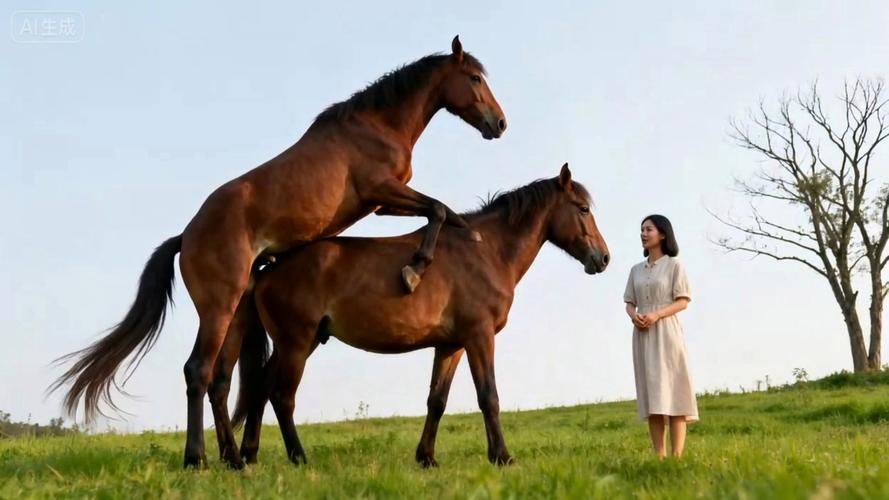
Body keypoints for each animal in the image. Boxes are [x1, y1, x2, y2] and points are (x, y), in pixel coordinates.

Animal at [49, 36, 507, 469]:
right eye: (475, 78)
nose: (499, 123)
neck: (376, 126)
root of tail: (186, 237)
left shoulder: (386, 202)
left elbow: (444, 212)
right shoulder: (382, 192)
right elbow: (438, 209)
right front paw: (416, 269)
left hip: (236, 312)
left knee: (221, 379)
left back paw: (234, 459)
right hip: (219, 308)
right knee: (198, 372)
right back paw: (198, 459)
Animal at [223, 164, 609, 467]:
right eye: (582, 209)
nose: (603, 258)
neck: (485, 250)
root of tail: (269, 269)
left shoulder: (451, 345)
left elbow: (436, 401)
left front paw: (427, 457)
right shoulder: (479, 337)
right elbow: (489, 396)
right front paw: (502, 456)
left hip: (298, 343)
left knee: (260, 387)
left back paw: (251, 454)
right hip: (297, 343)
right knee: (282, 396)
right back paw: (298, 457)